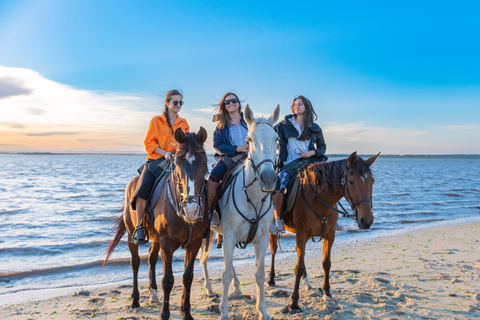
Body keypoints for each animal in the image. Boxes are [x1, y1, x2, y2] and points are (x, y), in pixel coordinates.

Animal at [103, 127, 208, 320]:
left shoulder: (194, 243)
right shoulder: (167, 242)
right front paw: (165, 314)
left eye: (204, 164)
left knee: (151, 258)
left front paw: (186, 313)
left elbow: (187, 278)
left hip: (156, 238)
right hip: (132, 234)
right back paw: (135, 299)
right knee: (135, 262)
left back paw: (153, 293)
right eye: (177, 165)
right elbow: (168, 280)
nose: (191, 210)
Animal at [201, 105, 280, 320]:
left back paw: (236, 289)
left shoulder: (261, 239)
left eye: (277, 138)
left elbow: (259, 275)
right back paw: (210, 290)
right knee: (204, 260)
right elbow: (225, 274)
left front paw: (262, 311)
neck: (253, 199)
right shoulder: (229, 237)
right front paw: (224, 313)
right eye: (249, 140)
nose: (268, 178)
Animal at [268, 152, 380, 312]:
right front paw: (294, 303)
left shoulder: (329, 235)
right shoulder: (302, 234)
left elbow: (326, 263)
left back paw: (307, 283)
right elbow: (298, 267)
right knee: (273, 250)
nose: (367, 220)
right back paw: (271, 279)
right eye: (351, 182)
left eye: (372, 181)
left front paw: (327, 293)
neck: (319, 199)